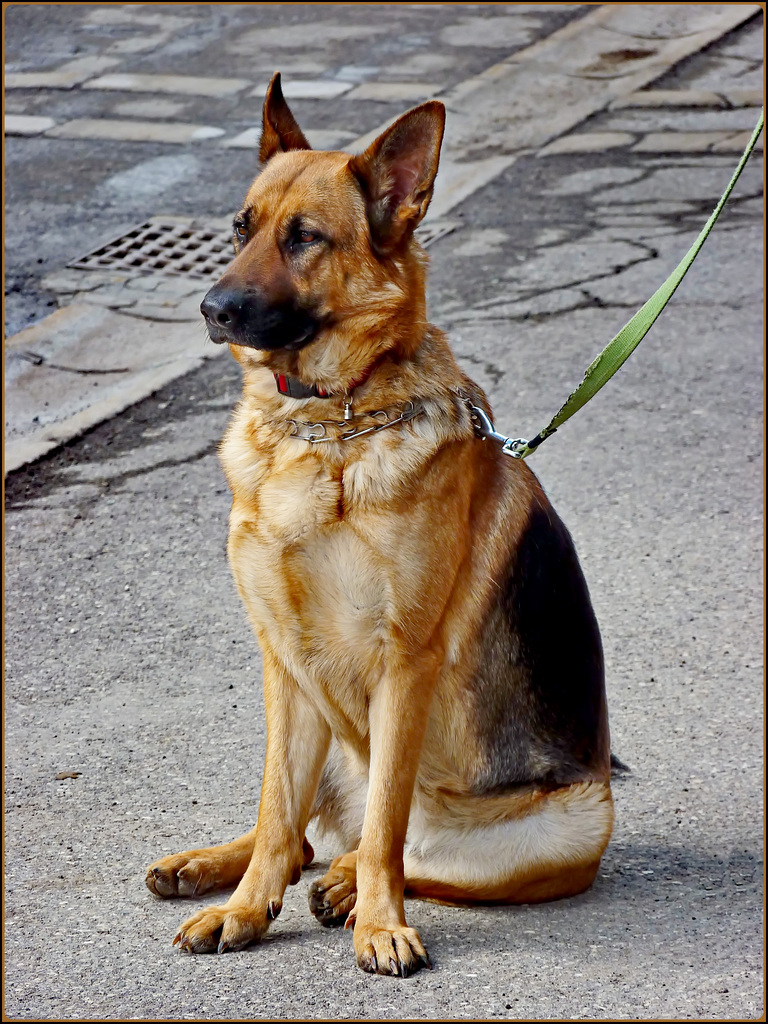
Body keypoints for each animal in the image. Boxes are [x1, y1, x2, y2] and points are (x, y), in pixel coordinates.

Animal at [144, 70, 614, 974]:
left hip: (571, 823)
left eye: (306, 238)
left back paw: (344, 890)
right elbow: (275, 809)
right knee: (299, 832)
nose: (212, 308)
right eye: (241, 227)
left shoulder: (405, 661)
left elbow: (388, 823)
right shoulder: (284, 661)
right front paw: (246, 910)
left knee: (403, 849)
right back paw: (215, 869)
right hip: (321, 718)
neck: (327, 425)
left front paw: (379, 922)